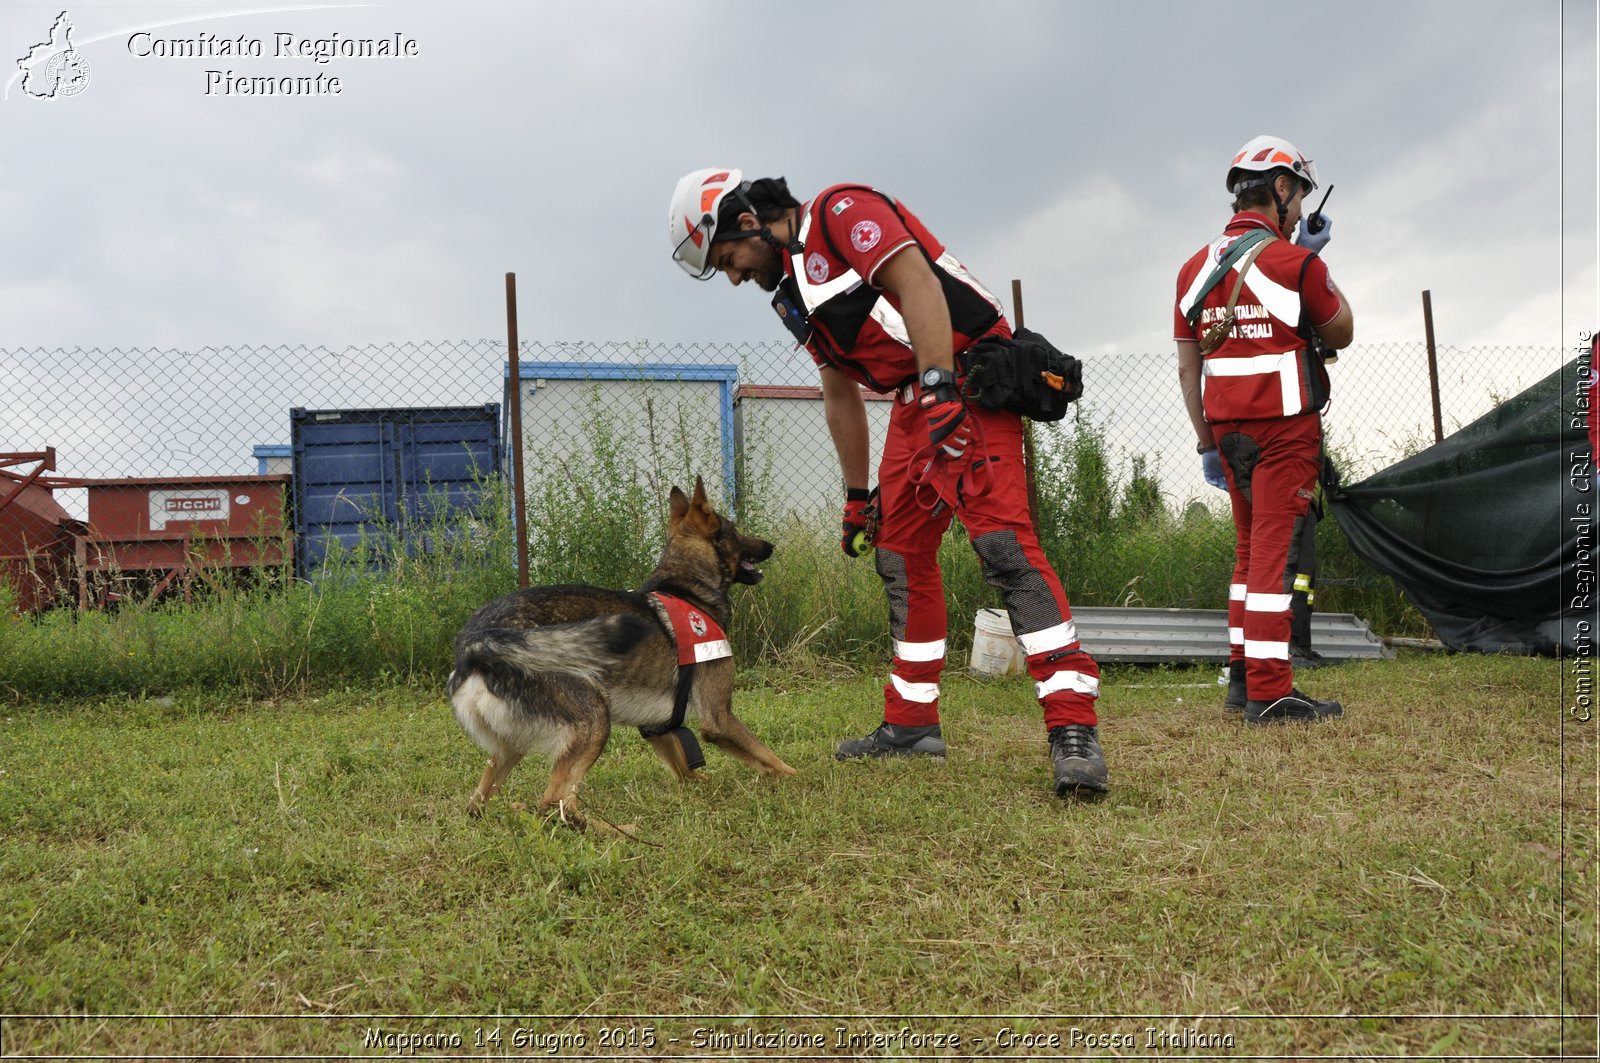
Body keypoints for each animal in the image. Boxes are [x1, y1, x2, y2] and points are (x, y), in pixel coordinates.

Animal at [444, 473, 793, 832]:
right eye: (735, 531)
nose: (770, 546)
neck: (686, 586)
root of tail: (475, 642)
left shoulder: (656, 725)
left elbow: (683, 767)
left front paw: (699, 784)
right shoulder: (718, 717)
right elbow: (771, 759)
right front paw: (796, 777)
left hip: (509, 748)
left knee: (480, 805)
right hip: (594, 721)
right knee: (556, 804)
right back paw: (617, 830)